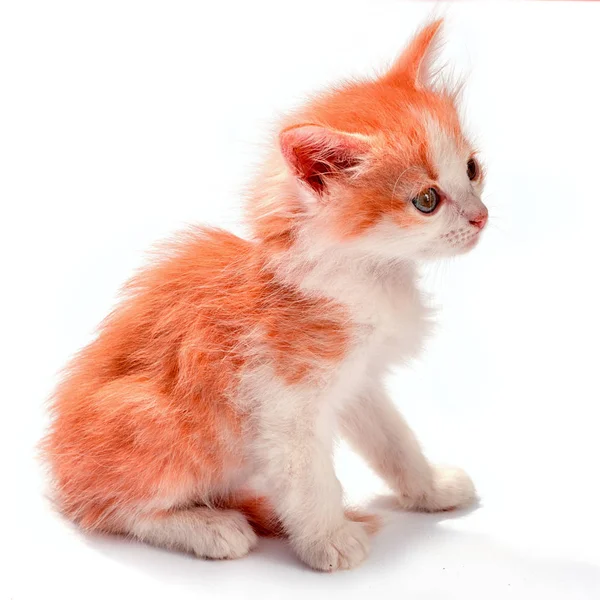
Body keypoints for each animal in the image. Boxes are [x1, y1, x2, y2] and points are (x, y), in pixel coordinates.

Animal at [42, 19, 486, 572]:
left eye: (472, 169)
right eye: (426, 201)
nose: (481, 217)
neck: (364, 276)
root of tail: (58, 471)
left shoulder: (360, 380)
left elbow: (393, 439)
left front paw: (429, 489)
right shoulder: (283, 401)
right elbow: (309, 477)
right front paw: (330, 540)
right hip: (170, 428)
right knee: (107, 508)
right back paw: (209, 527)